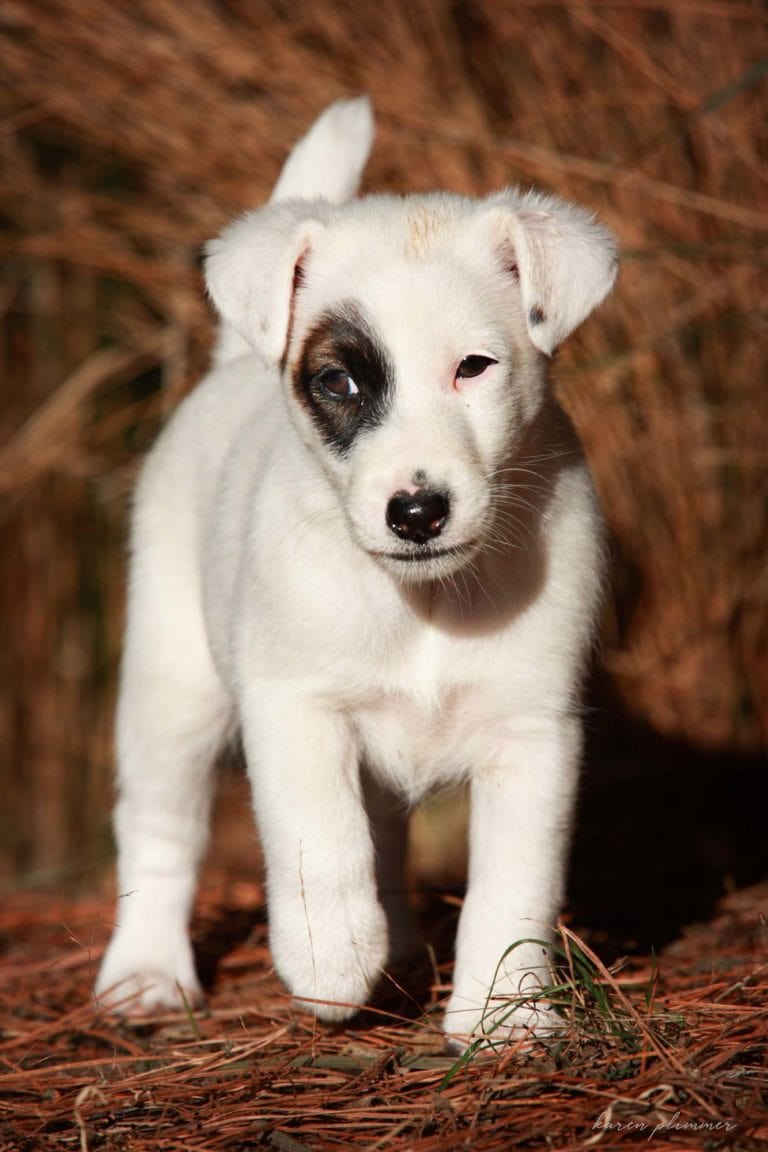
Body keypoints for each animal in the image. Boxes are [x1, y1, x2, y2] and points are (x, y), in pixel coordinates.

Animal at [94, 101, 617, 1055]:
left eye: (474, 367)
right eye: (338, 380)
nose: (417, 512)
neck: (424, 604)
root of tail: (230, 366)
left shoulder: (534, 731)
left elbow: (514, 885)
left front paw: (505, 1013)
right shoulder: (294, 706)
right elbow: (320, 839)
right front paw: (329, 955)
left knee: (387, 837)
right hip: (172, 688)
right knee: (160, 826)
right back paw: (146, 973)